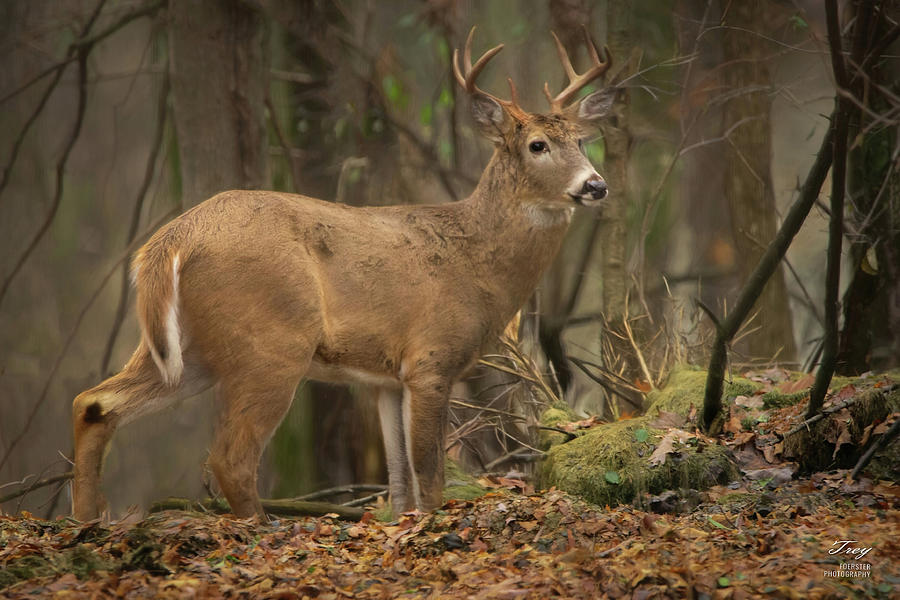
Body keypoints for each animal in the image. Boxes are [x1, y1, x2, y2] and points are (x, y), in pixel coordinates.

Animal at [74, 27, 616, 520]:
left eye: (582, 140)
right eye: (538, 145)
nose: (596, 185)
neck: (477, 263)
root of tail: (172, 237)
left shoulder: (387, 378)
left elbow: (399, 484)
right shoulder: (430, 358)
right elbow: (429, 475)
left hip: (186, 350)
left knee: (94, 402)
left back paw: (90, 520)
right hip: (273, 341)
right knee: (230, 456)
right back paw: (258, 528)